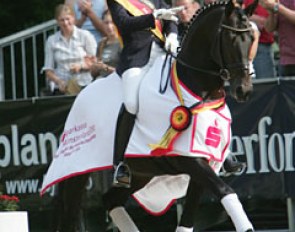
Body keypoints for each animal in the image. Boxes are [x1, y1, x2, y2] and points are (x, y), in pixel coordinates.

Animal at [40, 0, 258, 230]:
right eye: (230, 38)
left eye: (252, 38)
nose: (244, 90)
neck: (196, 88)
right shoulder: (189, 160)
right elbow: (227, 192)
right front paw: (163, 14)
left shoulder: (204, 161)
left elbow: (188, 220)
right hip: (75, 173)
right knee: (71, 214)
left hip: (141, 174)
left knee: (110, 200)